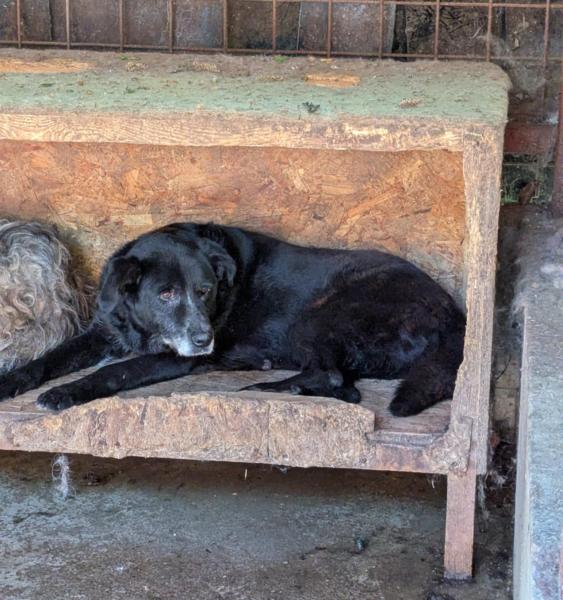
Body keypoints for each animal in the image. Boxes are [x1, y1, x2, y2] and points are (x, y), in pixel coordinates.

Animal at [0, 223, 465, 415]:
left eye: (205, 290)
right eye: (166, 293)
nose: (205, 339)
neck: (143, 325)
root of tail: (454, 312)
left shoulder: (177, 358)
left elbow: (115, 373)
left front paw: (66, 393)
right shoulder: (103, 332)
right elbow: (49, 359)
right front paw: (12, 381)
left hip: (319, 316)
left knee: (332, 377)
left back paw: (267, 385)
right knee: (344, 387)